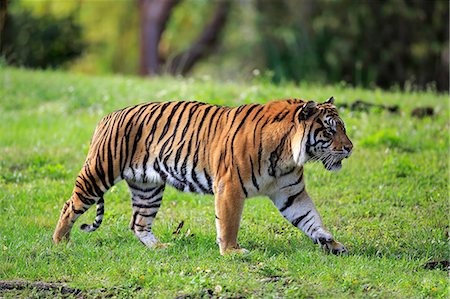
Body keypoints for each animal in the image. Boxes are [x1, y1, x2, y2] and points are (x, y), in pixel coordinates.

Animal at [54, 96, 354, 255]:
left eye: (343, 128)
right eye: (330, 131)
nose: (350, 147)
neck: (287, 154)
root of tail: (108, 115)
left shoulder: (291, 192)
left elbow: (311, 219)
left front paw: (332, 244)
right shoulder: (230, 187)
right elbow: (229, 223)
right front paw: (232, 251)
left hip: (147, 187)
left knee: (139, 222)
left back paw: (160, 247)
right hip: (99, 172)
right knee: (70, 205)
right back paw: (61, 241)